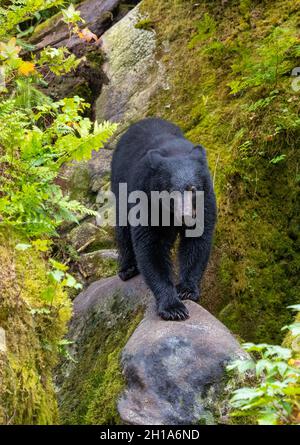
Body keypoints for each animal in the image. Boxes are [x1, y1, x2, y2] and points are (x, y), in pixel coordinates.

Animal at [110, 118, 216, 320]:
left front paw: (186, 289)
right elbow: (151, 245)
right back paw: (127, 268)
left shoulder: (206, 199)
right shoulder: (145, 196)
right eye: (170, 191)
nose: (186, 216)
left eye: (193, 189)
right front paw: (173, 307)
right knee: (123, 228)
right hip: (119, 185)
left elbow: (197, 241)